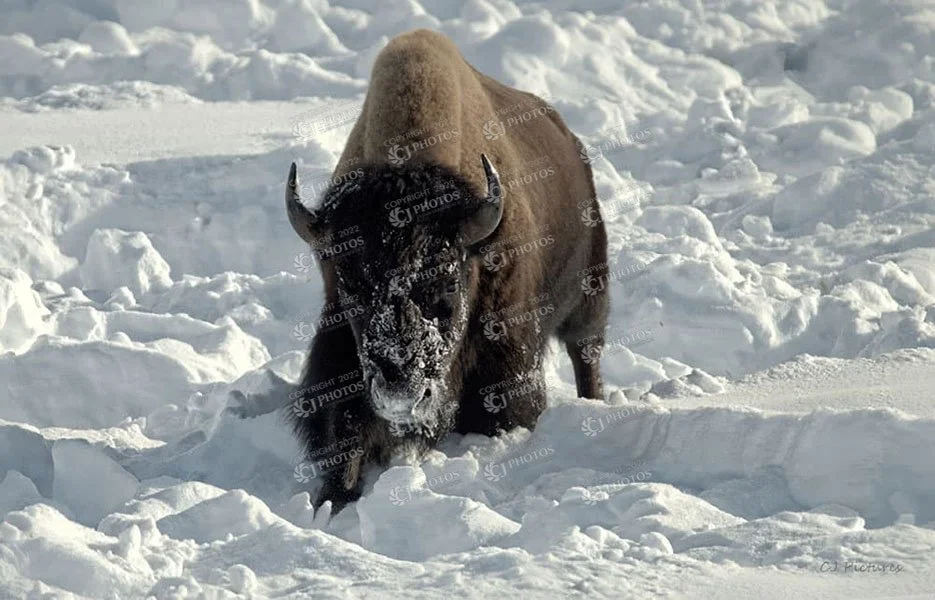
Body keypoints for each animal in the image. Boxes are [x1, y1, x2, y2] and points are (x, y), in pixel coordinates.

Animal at [285, 29, 609, 512]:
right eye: (352, 287)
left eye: (446, 285)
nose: (402, 396)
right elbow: (344, 428)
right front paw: (333, 500)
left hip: (591, 295)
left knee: (586, 354)